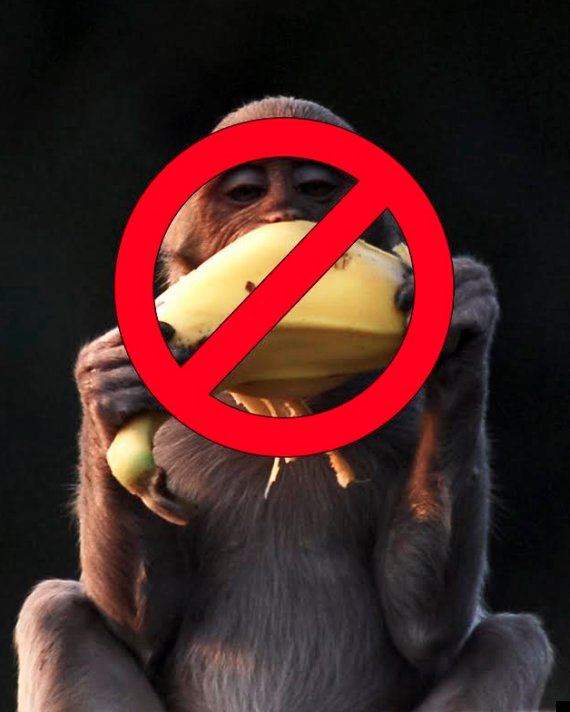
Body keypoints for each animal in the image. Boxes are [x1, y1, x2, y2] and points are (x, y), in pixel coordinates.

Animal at [15, 97, 553, 712]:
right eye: (247, 193)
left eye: (316, 189)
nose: (282, 217)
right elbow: (139, 626)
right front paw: (109, 388)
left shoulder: (403, 419)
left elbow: (425, 629)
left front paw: (462, 329)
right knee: (54, 611)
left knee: (515, 637)